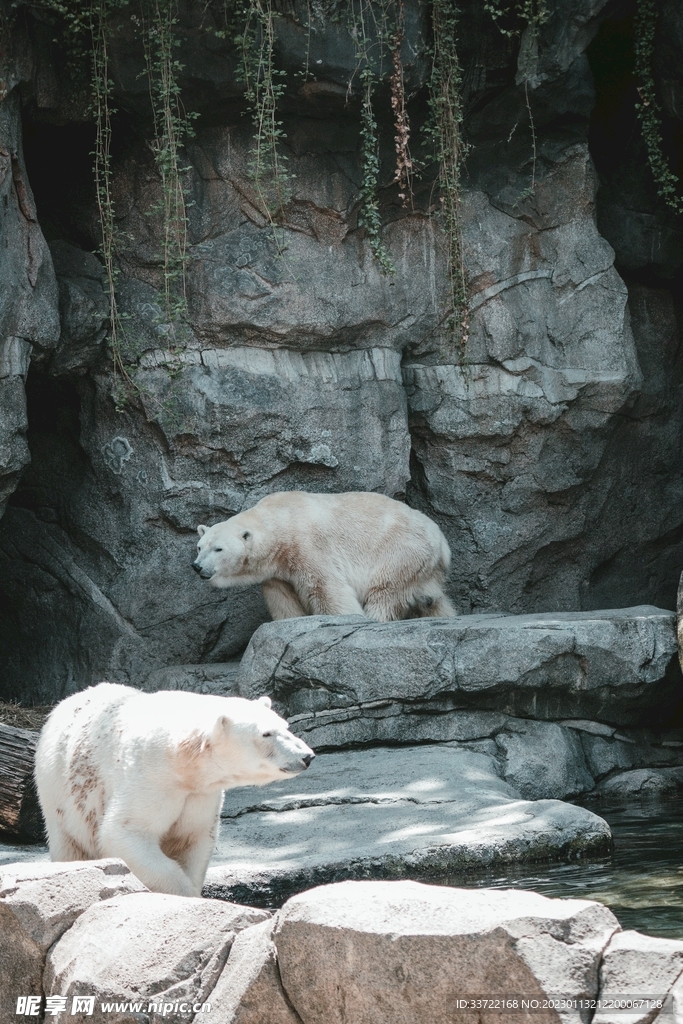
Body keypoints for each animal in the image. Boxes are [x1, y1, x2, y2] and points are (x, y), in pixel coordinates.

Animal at [34, 682, 315, 897]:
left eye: (285, 726)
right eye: (266, 734)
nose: (307, 756)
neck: (182, 758)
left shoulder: (200, 793)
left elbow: (193, 837)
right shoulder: (151, 779)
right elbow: (125, 832)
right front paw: (184, 893)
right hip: (58, 794)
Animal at [193, 490, 456, 622]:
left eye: (218, 549)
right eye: (200, 547)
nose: (197, 567)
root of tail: (442, 542)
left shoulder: (306, 546)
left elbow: (325, 587)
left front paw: (346, 617)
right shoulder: (275, 570)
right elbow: (282, 598)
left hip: (402, 550)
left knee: (385, 590)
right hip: (424, 568)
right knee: (433, 599)